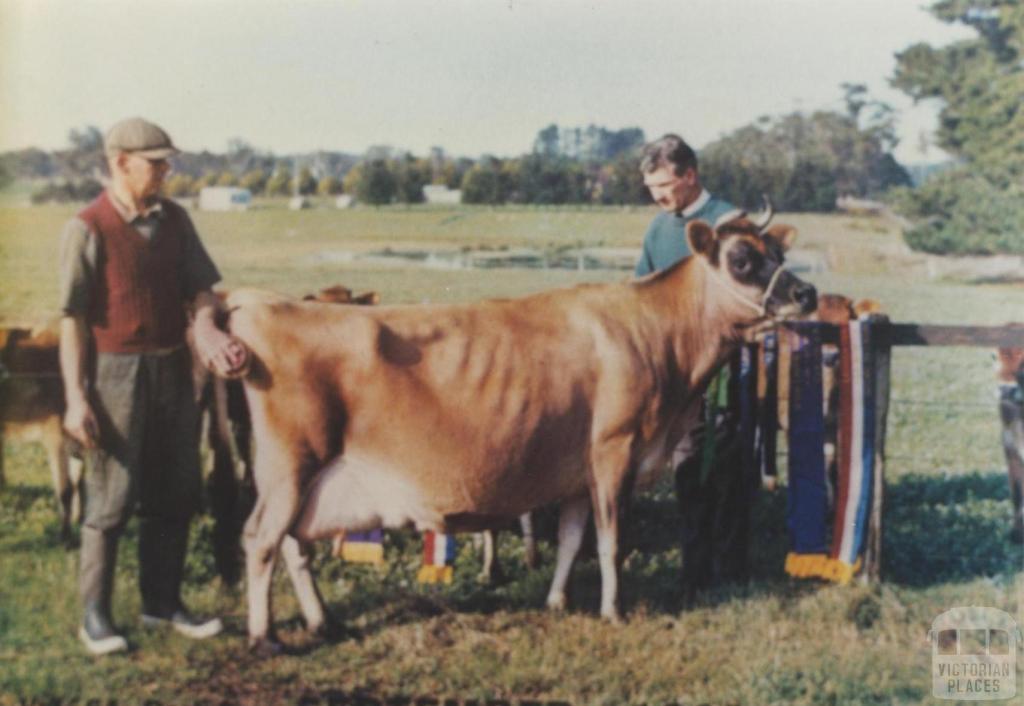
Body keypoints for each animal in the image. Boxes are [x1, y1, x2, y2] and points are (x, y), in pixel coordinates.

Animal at [222, 213, 815, 651]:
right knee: (261, 538)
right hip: (291, 465)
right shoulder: (615, 449)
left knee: (293, 544)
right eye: (742, 259)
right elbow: (611, 540)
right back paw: (265, 637)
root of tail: (266, 305)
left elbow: (573, 538)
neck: (656, 335)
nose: (806, 294)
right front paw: (614, 609)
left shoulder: (580, 469)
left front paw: (556, 601)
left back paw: (322, 621)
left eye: (779, 255)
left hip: (301, 477)